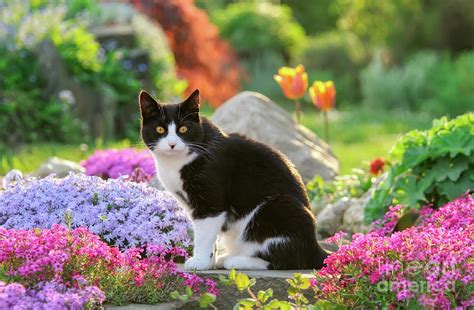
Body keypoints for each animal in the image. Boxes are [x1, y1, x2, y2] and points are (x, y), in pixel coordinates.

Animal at [139, 89, 328, 268]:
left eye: (183, 129)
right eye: (160, 129)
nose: (172, 144)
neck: (175, 163)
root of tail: (316, 248)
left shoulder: (211, 200)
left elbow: (204, 234)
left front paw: (200, 261)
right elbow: (210, 235)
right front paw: (210, 262)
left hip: (279, 208)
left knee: (287, 260)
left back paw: (237, 261)